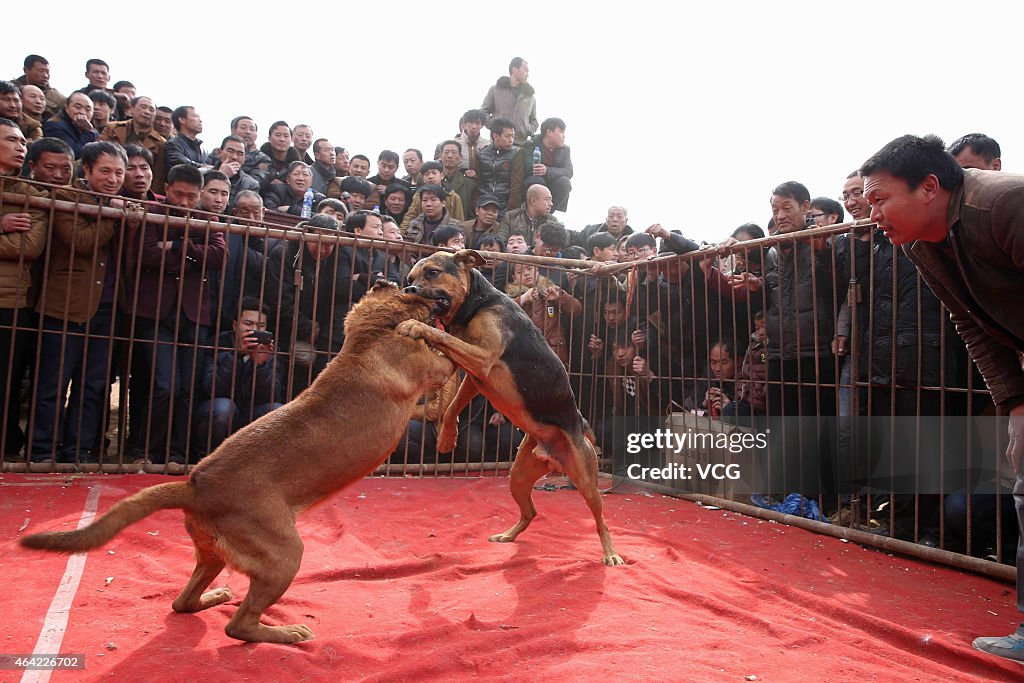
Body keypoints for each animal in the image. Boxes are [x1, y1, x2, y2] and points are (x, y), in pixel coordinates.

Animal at [18, 280, 452, 643]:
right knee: (238, 626)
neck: (368, 334)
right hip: (284, 556)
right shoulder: (434, 368)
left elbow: (434, 406)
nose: (434, 294)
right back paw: (285, 634)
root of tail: (192, 487)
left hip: (212, 555)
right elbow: (446, 365)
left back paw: (215, 597)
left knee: (183, 602)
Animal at [399, 250, 622, 565]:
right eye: (410, 277)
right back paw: (508, 535)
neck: (475, 304)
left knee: (601, 519)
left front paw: (417, 326)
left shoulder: (481, 358)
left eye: (432, 272)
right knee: (531, 511)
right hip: (518, 476)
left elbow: (442, 336)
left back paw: (611, 553)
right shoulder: (475, 376)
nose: (408, 289)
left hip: (586, 480)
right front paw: (446, 438)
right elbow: (453, 405)